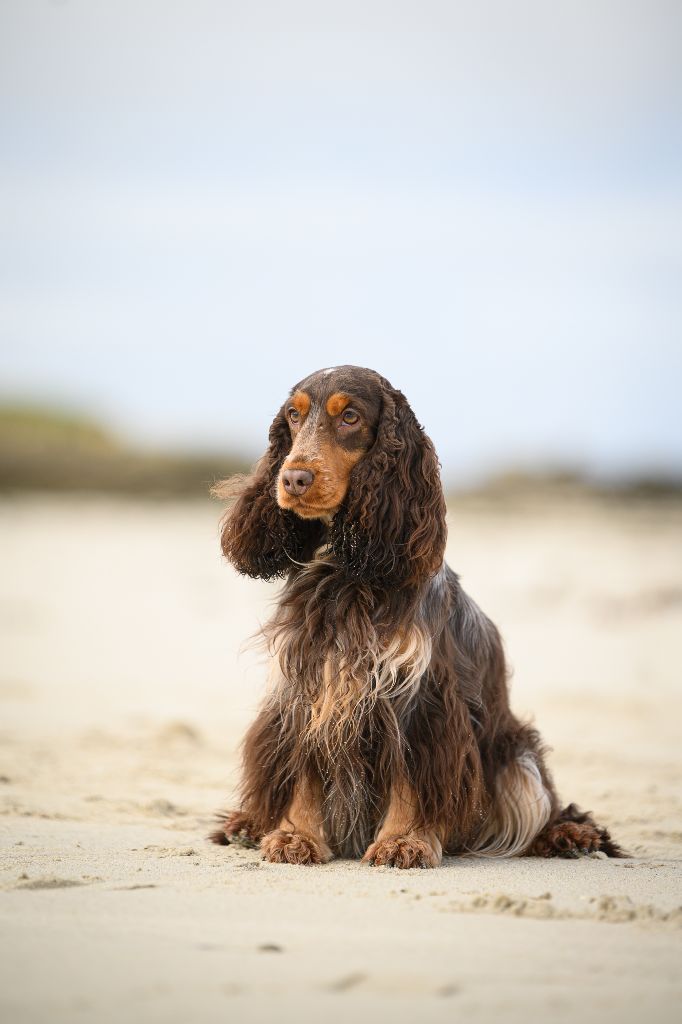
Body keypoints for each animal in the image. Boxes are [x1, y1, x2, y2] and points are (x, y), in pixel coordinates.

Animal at [210, 365, 622, 867]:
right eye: (293, 415)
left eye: (350, 416)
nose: (293, 479)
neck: (347, 569)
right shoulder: (306, 682)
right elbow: (301, 768)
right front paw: (295, 835)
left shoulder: (421, 697)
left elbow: (410, 777)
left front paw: (403, 841)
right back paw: (245, 825)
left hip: (516, 757)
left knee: (546, 807)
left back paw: (567, 836)